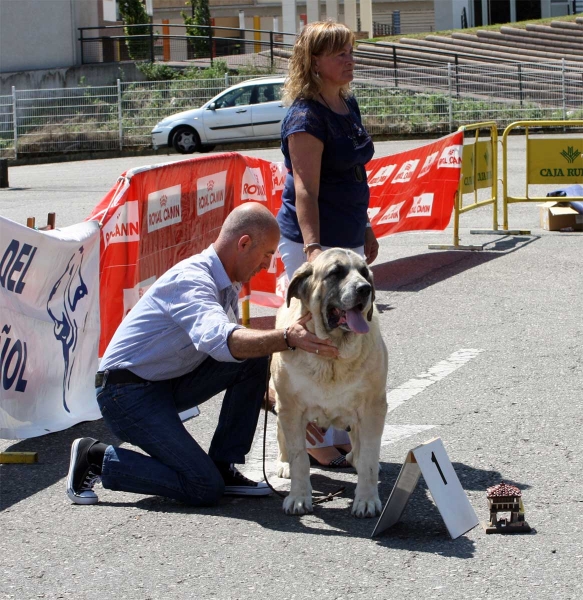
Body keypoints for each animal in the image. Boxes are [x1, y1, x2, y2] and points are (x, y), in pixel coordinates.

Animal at [272, 246, 388, 516]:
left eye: (364, 272)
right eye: (336, 272)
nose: (364, 289)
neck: (332, 357)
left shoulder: (373, 408)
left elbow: (368, 458)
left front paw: (366, 500)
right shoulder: (290, 408)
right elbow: (299, 458)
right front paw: (298, 497)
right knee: (280, 435)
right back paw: (283, 463)